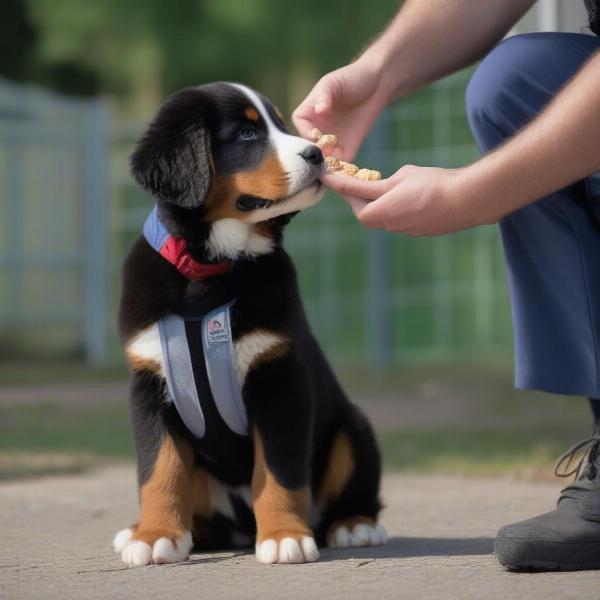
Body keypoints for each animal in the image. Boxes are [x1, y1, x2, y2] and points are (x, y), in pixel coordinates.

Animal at [112, 82, 384, 564]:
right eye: (245, 133)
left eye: (280, 123)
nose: (316, 153)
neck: (210, 275)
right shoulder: (149, 387)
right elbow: (159, 469)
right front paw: (155, 535)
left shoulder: (279, 379)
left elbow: (280, 469)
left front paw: (284, 536)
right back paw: (148, 530)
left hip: (352, 428)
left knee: (351, 488)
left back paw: (354, 525)